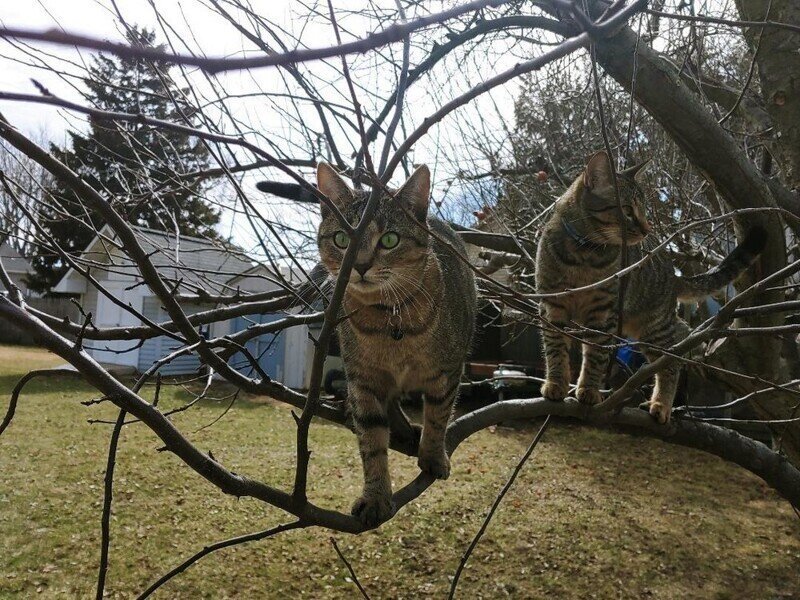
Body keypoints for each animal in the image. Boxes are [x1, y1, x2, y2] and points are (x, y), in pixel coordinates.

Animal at [314, 163, 478, 524]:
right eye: (342, 239)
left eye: (389, 240)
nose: (360, 265)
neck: (387, 318)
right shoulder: (363, 380)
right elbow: (372, 442)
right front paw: (376, 495)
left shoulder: (448, 373)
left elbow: (438, 417)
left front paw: (433, 456)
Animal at [536, 150, 764, 422]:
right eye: (626, 210)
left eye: (644, 211)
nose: (646, 229)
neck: (583, 254)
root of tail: (673, 274)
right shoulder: (552, 305)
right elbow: (555, 349)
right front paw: (556, 383)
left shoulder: (604, 313)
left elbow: (595, 356)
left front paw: (589, 389)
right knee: (681, 333)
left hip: (654, 327)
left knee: (673, 358)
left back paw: (662, 404)